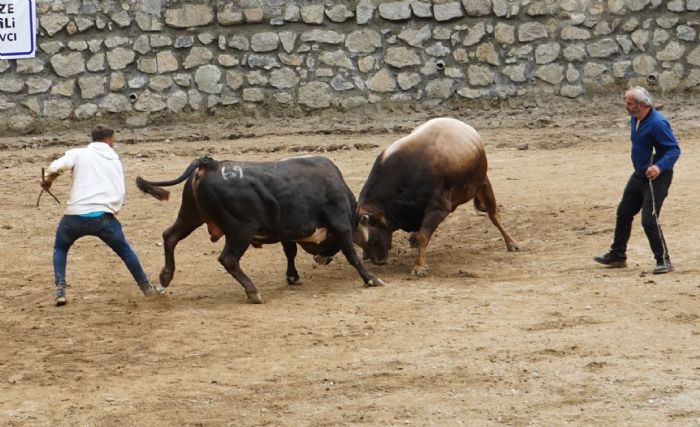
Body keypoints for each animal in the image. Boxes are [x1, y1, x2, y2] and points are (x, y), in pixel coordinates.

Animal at [136, 155, 382, 302]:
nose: (321, 259)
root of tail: (210, 163)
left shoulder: (287, 230)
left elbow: (290, 252)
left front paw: (292, 277)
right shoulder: (339, 222)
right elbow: (351, 253)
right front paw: (370, 278)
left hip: (189, 216)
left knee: (170, 236)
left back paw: (166, 275)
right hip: (240, 230)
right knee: (228, 259)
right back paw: (252, 291)